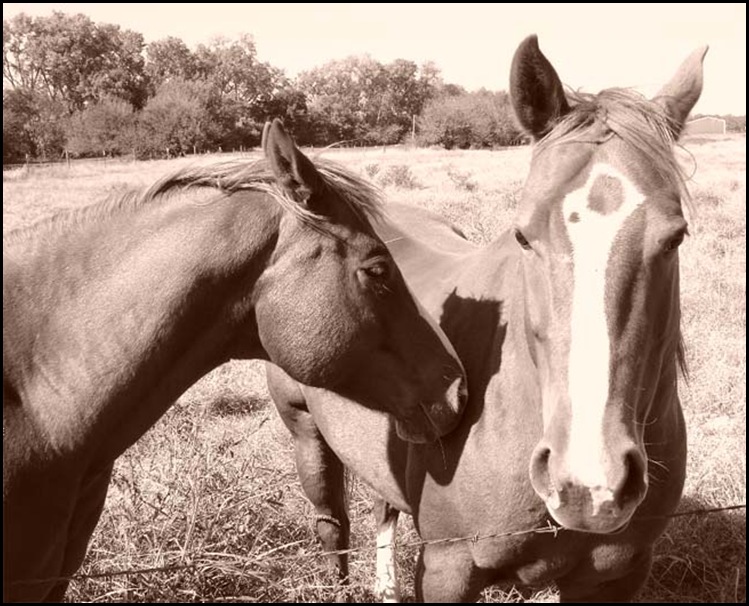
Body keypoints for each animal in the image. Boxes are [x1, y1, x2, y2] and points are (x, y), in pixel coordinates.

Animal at [267, 36, 706, 602]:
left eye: (675, 238)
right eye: (523, 235)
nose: (590, 485)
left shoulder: (616, 574)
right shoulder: (447, 568)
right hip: (305, 430)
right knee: (332, 522)